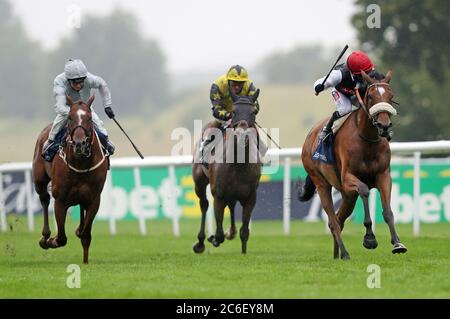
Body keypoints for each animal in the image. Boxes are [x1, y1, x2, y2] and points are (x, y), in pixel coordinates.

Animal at [32, 95, 107, 264]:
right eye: (70, 117)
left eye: (89, 118)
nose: (79, 144)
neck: (80, 163)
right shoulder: (60, 200)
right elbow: (61, 238)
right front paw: (51, 240)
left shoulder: (95, 199)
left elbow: (86, 234)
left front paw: (85, 261)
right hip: (39, 180)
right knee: (44, 199)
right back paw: (45, 237)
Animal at [192, 90, 262, 255]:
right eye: (234, 112)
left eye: (253, 112)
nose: (242, 135)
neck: (238, 165)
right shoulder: (218, 196)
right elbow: (218, 232)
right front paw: (214, 238)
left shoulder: (251, 197)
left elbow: (245, 231)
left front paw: (243, 250)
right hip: (199, 182)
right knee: (204, 204)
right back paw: (200, 242)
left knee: (231, 206)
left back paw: (231, 231)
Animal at [298, 70, 408, 260]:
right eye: (370, 96)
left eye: (391, 96)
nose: (384, 126)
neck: (367, 140)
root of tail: (309, 136)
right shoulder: (348, 177)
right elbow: (364, 190)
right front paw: (370, 238)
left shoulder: (384, 176)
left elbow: (388, 211)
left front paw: (397, 243)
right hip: (322, 183)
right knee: (333, 221)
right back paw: (345, 253)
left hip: (347, 194)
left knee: (338, 219)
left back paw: (338, 255)